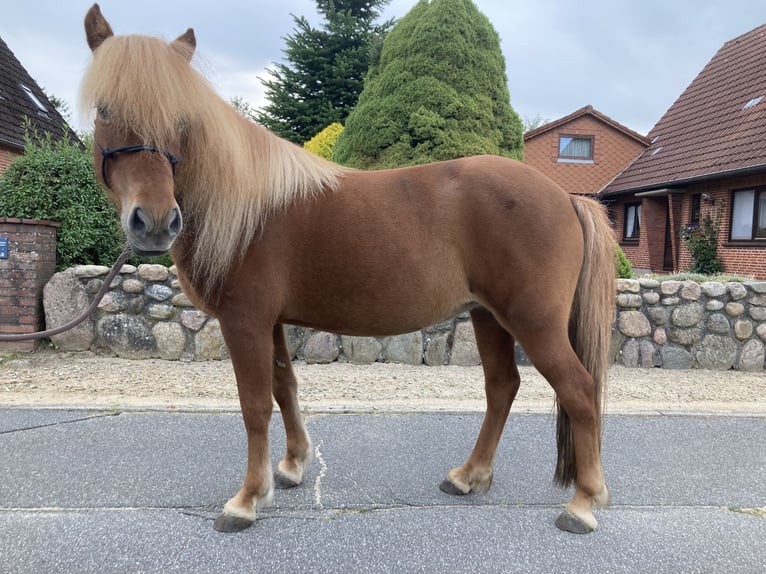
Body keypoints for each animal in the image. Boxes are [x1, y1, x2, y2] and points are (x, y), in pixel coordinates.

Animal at [81, 4, 615, 535]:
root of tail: (565, 197)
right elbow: (284, 388)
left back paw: (583, 503)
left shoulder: (244, 321)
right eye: (105, 110)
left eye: (180, 119)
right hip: (488, 317)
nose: (154, 222)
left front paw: (247, 499)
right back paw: (468, 476)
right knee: (503, 387)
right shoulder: (271, 323)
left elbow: (254, 405)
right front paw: (292, 466)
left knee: (579, 390)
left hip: (533, 322)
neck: (246, 206)